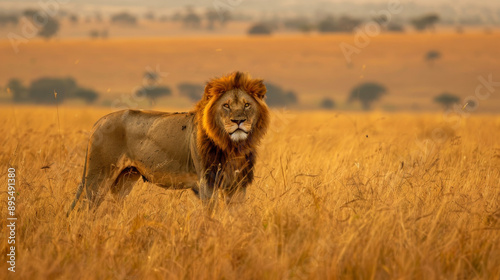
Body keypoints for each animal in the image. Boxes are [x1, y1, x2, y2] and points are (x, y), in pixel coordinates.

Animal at [67, 71, 270, 215]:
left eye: (247, 105)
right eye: (226, 105)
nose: (239, 121)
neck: (232, 146)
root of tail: (99, 121)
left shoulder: (238, 184)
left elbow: (236, 216)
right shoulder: (207, 182)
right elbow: (210, 215)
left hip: (126, 178)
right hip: (98, 177)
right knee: (85, 209)